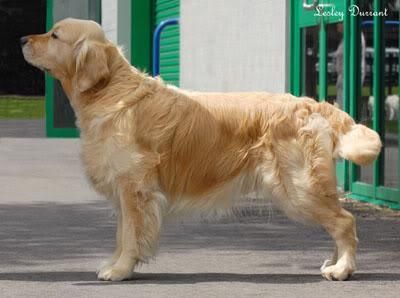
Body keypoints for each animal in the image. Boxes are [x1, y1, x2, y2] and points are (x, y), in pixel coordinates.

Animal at [21, 18, 382, 282]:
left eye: (54, 35)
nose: (23, 39)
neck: (110, 90)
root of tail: (311, 103)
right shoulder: (125, 189)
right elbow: (123, 233)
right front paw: (117, 264)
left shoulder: (134, 186)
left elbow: (130, 235)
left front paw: (120, 270)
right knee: (338, 222)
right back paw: (333, 262)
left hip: (298, 188)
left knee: (345, 221)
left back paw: (342, 269)